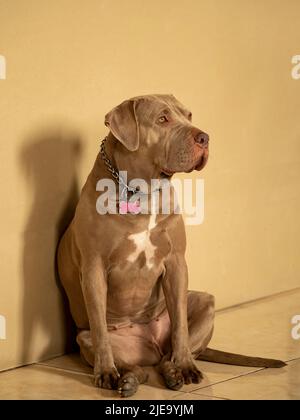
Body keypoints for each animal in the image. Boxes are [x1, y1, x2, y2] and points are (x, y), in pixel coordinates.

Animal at [56, 94, 286, 398]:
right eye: (162, 119)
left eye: (188, 115)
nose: (204, 137)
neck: (142, 191)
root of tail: (151, 348)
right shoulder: (94, 269)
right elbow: (101, 331)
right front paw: (105, 372)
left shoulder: (176, 262)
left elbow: (180, 326)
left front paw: (185, 365)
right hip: (86, 338)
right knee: (135, 366)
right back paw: (127, 379)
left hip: (204, 302)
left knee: (169, 355)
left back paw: (176, 371)